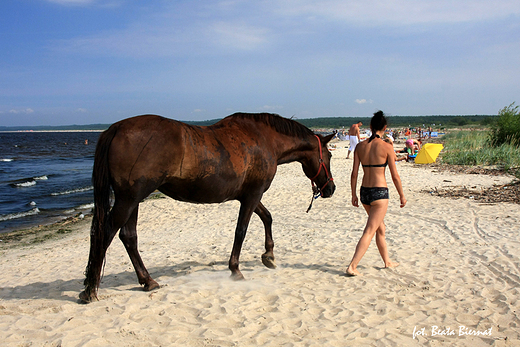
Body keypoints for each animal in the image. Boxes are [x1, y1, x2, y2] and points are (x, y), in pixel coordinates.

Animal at [79, 113, 336, 304]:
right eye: (330, 156)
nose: (331, 188)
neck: (264, 139)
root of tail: (115, 128)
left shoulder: (249, 195)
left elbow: (267, 217)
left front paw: (269, 256)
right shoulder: (252, 195)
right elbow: (241, 231)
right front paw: (236, 270)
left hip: (133, 201)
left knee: (128, 236)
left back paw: (147, 281)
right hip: (129, 199)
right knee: (105, 234)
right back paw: (90, 290)